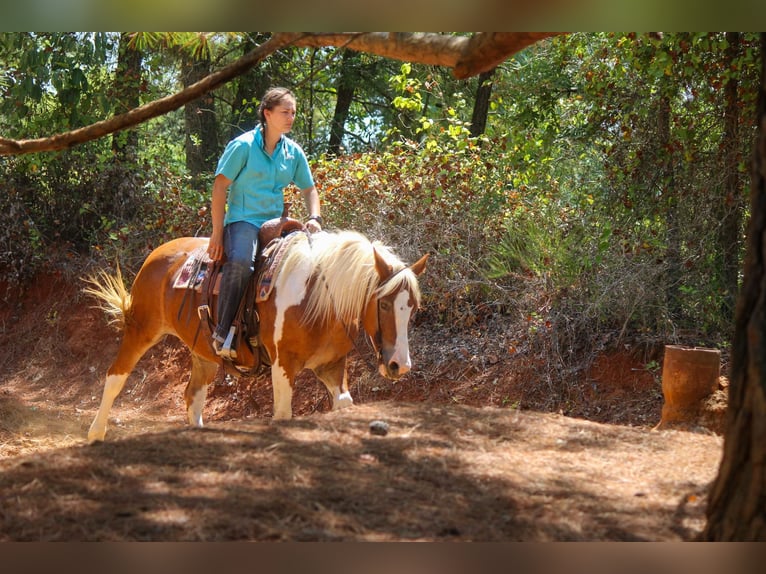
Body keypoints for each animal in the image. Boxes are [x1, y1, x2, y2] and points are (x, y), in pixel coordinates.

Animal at [85, 227, 432, 444]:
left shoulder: (331, 366)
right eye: (384, 303)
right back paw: (95, 434)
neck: (318, 299)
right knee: (115, 377)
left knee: (192, 395)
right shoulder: (283, 364)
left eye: (413, 308)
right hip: (141, 330)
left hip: (202, 354)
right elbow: (283, 413)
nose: (400, 365)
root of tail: (157, 254)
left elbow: (344, 404)